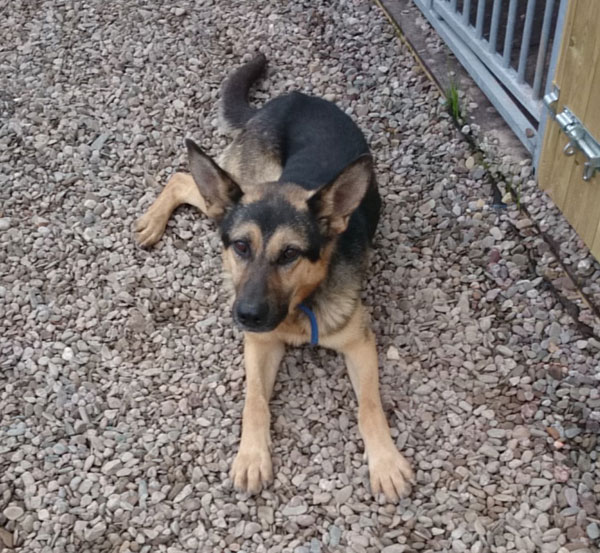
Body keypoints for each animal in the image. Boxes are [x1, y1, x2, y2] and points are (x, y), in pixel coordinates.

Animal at [137, 55, 414, 500]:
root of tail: (290, 98)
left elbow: (369, 404)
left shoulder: (360, 344)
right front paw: (251, 456)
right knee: (183, 177)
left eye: (289, 254)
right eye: (241, 247)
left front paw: (385, 463)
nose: (247, 315)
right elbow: (254, 401)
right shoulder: (260, 344)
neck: (300, 308)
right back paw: (153, 220)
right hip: (244, 183)